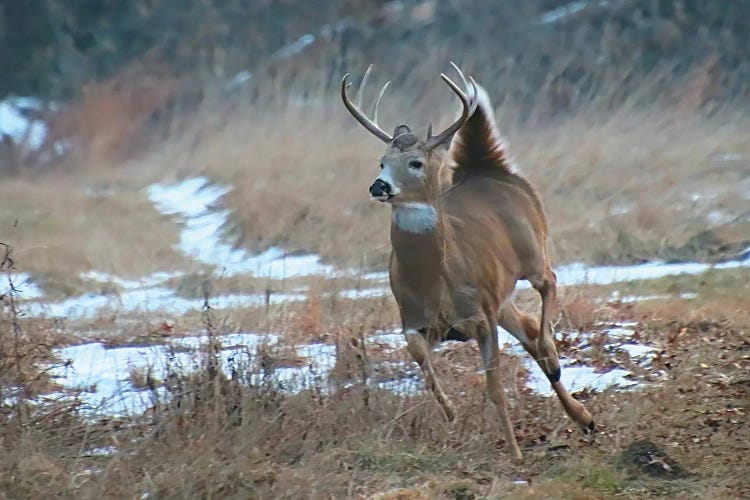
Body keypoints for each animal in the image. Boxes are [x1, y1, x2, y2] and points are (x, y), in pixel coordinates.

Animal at [344, 64, 596, 458]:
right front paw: (451, 414)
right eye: (382, 162)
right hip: (500, 295)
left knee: (550, 284)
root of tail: (485, 168)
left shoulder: (481, 315)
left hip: (532, 250)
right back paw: (584, 417)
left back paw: (555, 358)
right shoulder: (416, 320)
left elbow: (495, 389)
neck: (434, 281)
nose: (379, 186)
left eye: (415, 162)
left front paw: (514, 454)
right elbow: (425, 369)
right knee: (528, 328)